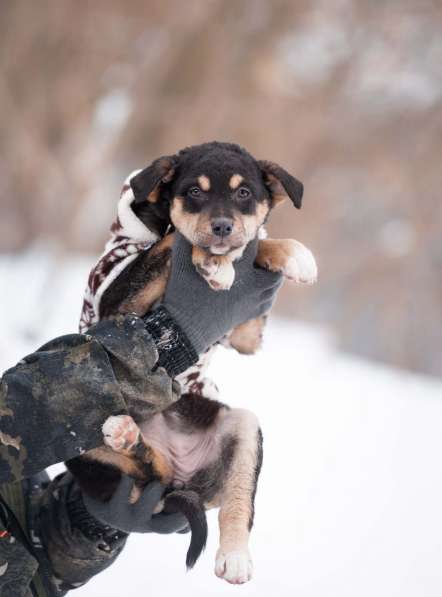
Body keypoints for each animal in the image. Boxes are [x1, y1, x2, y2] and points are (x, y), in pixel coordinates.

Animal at [66, 141, 318, 584]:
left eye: (244, 192)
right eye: (194, 192)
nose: (221, 227)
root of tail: (182, 477)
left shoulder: (244, 333)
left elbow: (253, 243)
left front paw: (290, 254)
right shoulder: (115, 298)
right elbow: (175, 241)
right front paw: (214, 262)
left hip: (244, 426)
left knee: (233, 501)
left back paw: (234, 558)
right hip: (78, 437)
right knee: (152, 473)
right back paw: (125, 434)